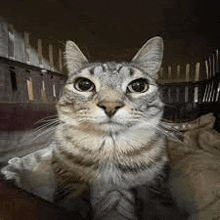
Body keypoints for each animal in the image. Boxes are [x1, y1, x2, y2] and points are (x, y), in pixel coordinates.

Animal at [51, 36, 170, 220]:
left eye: (138, 86)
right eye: (84, 84)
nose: (110, 105)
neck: (110, 148)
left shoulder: (156, 181)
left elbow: (155, 201)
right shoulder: (64, 173)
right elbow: (71, 193)